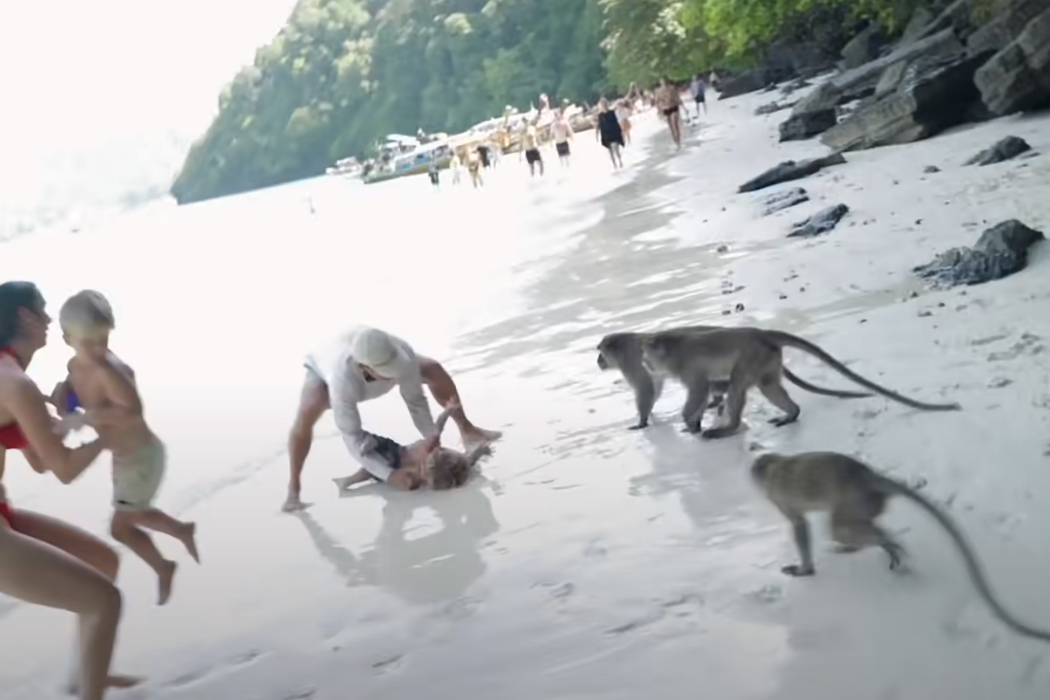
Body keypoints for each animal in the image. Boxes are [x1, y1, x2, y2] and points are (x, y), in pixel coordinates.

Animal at [638, 329, 961, 438]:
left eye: (646, 354)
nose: (643, 362)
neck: (673, 349)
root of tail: (761, 332)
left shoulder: (688, 367)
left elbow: (701, 390)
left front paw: (690, 421)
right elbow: (714, 387)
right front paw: (695, 420)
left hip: (754, 355)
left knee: (740, 384)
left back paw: (728, 429)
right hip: (767, 360)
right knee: (768, 385)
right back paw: (791, 413)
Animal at [751, 451, 1050, 642]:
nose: (754, 480)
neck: (774, 466)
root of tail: (870, 476)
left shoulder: (778, 494)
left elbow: (799, 526)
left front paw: (805, 569)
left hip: (856, 499)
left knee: (840, 528)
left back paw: (885, 543)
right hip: (870, 503)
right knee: (854, 527)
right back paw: (883, 543)